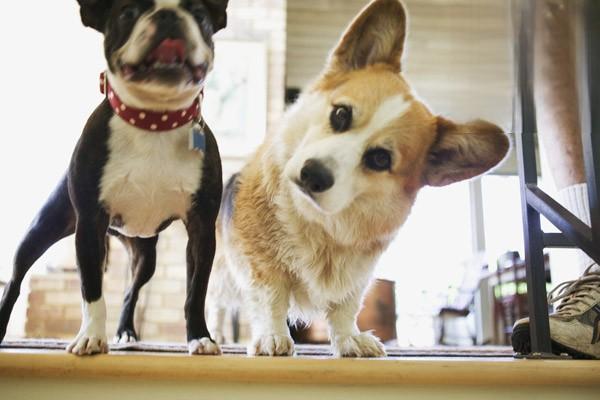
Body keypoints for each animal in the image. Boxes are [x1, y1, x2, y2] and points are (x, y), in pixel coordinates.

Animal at [0, 0, 230, 356]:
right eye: (127, 13)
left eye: (200, 16)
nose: (167, 15)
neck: (154, 120)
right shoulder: (89, 224)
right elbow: (92, 289)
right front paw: (91, 336)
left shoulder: (201, 230)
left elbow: (195, 292)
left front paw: (200, 338)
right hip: (41, 230)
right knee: (14, 280)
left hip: (145, 255)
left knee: (130, 291)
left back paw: (126, 332)